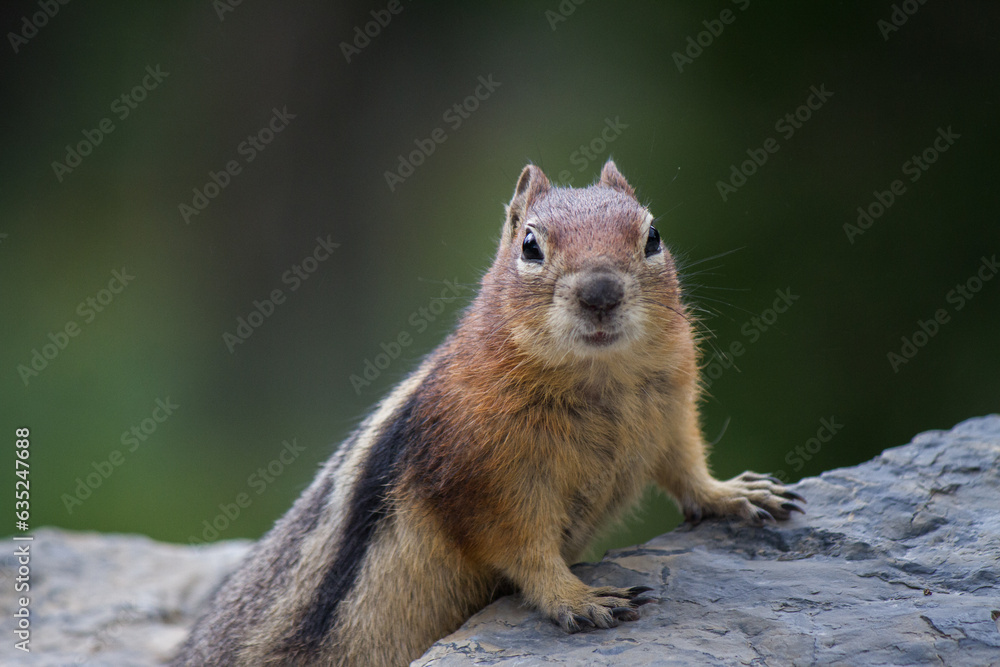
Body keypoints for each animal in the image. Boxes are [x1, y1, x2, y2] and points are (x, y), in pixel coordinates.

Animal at [173, 160, 805, 667]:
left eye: (652, 236)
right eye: (530, 245)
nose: (600, 292)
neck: (600, 381)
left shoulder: (671, 416)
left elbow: (686, 469)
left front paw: (736, 493)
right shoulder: (482, 480)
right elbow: (523, 549)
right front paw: (578, 598)